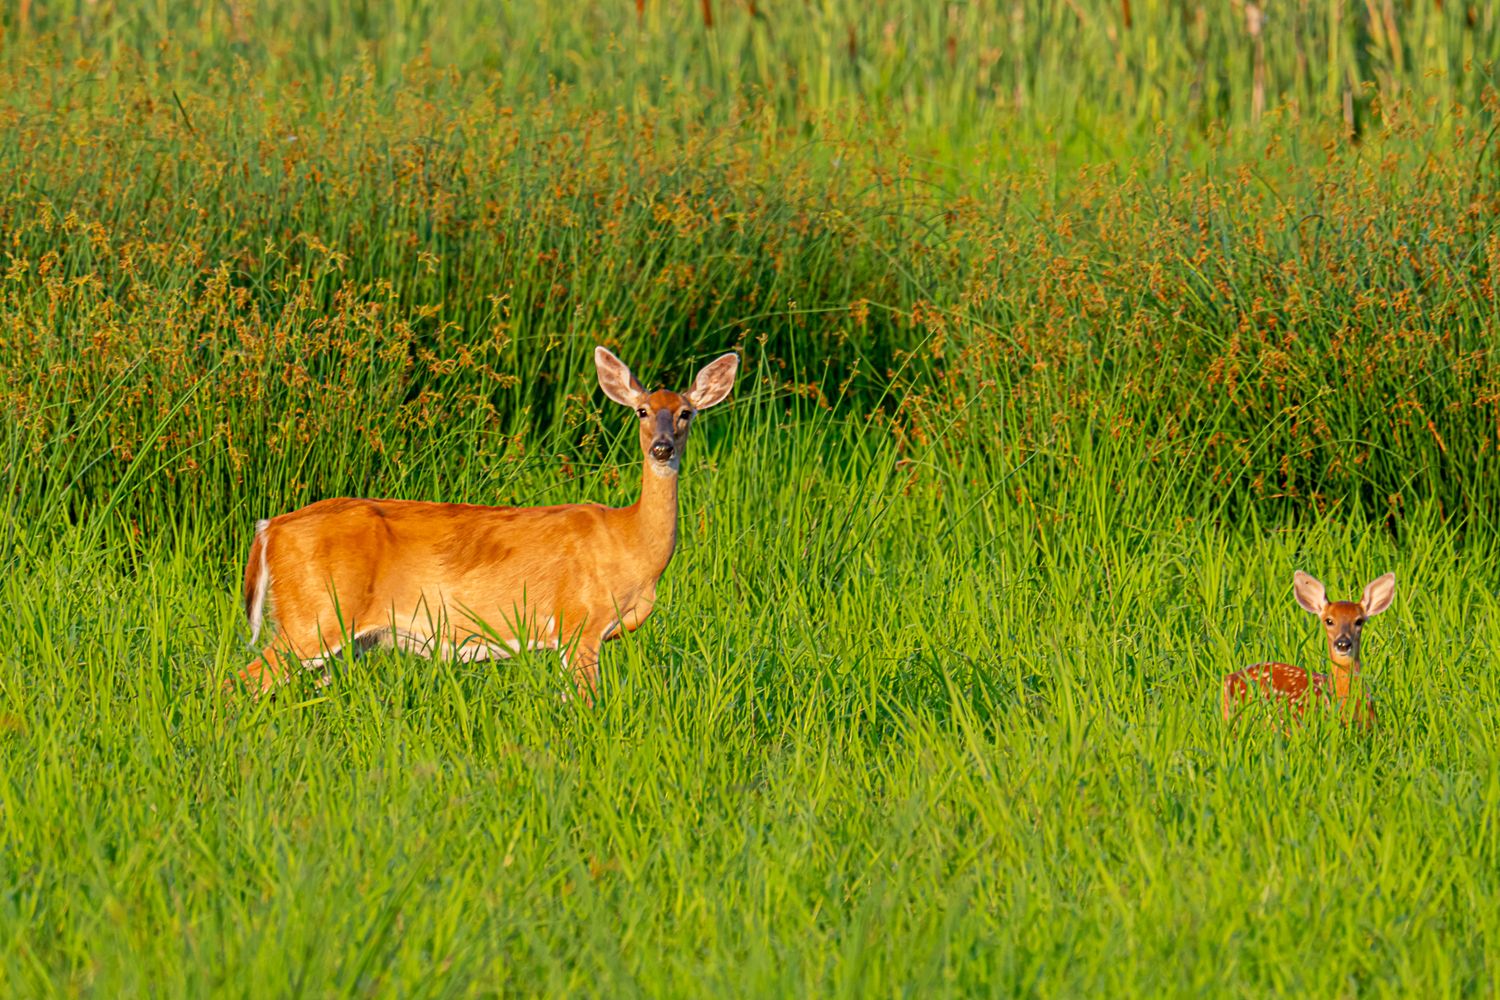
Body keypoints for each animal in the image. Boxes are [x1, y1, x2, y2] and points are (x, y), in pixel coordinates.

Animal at [232, 345, 740, 706]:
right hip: (313, 616)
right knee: (241, 681)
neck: (629, 543)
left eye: (686, 412)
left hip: (341, 636)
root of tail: (269, 528)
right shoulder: (580, 623)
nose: (662, 448)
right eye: (641, 410)